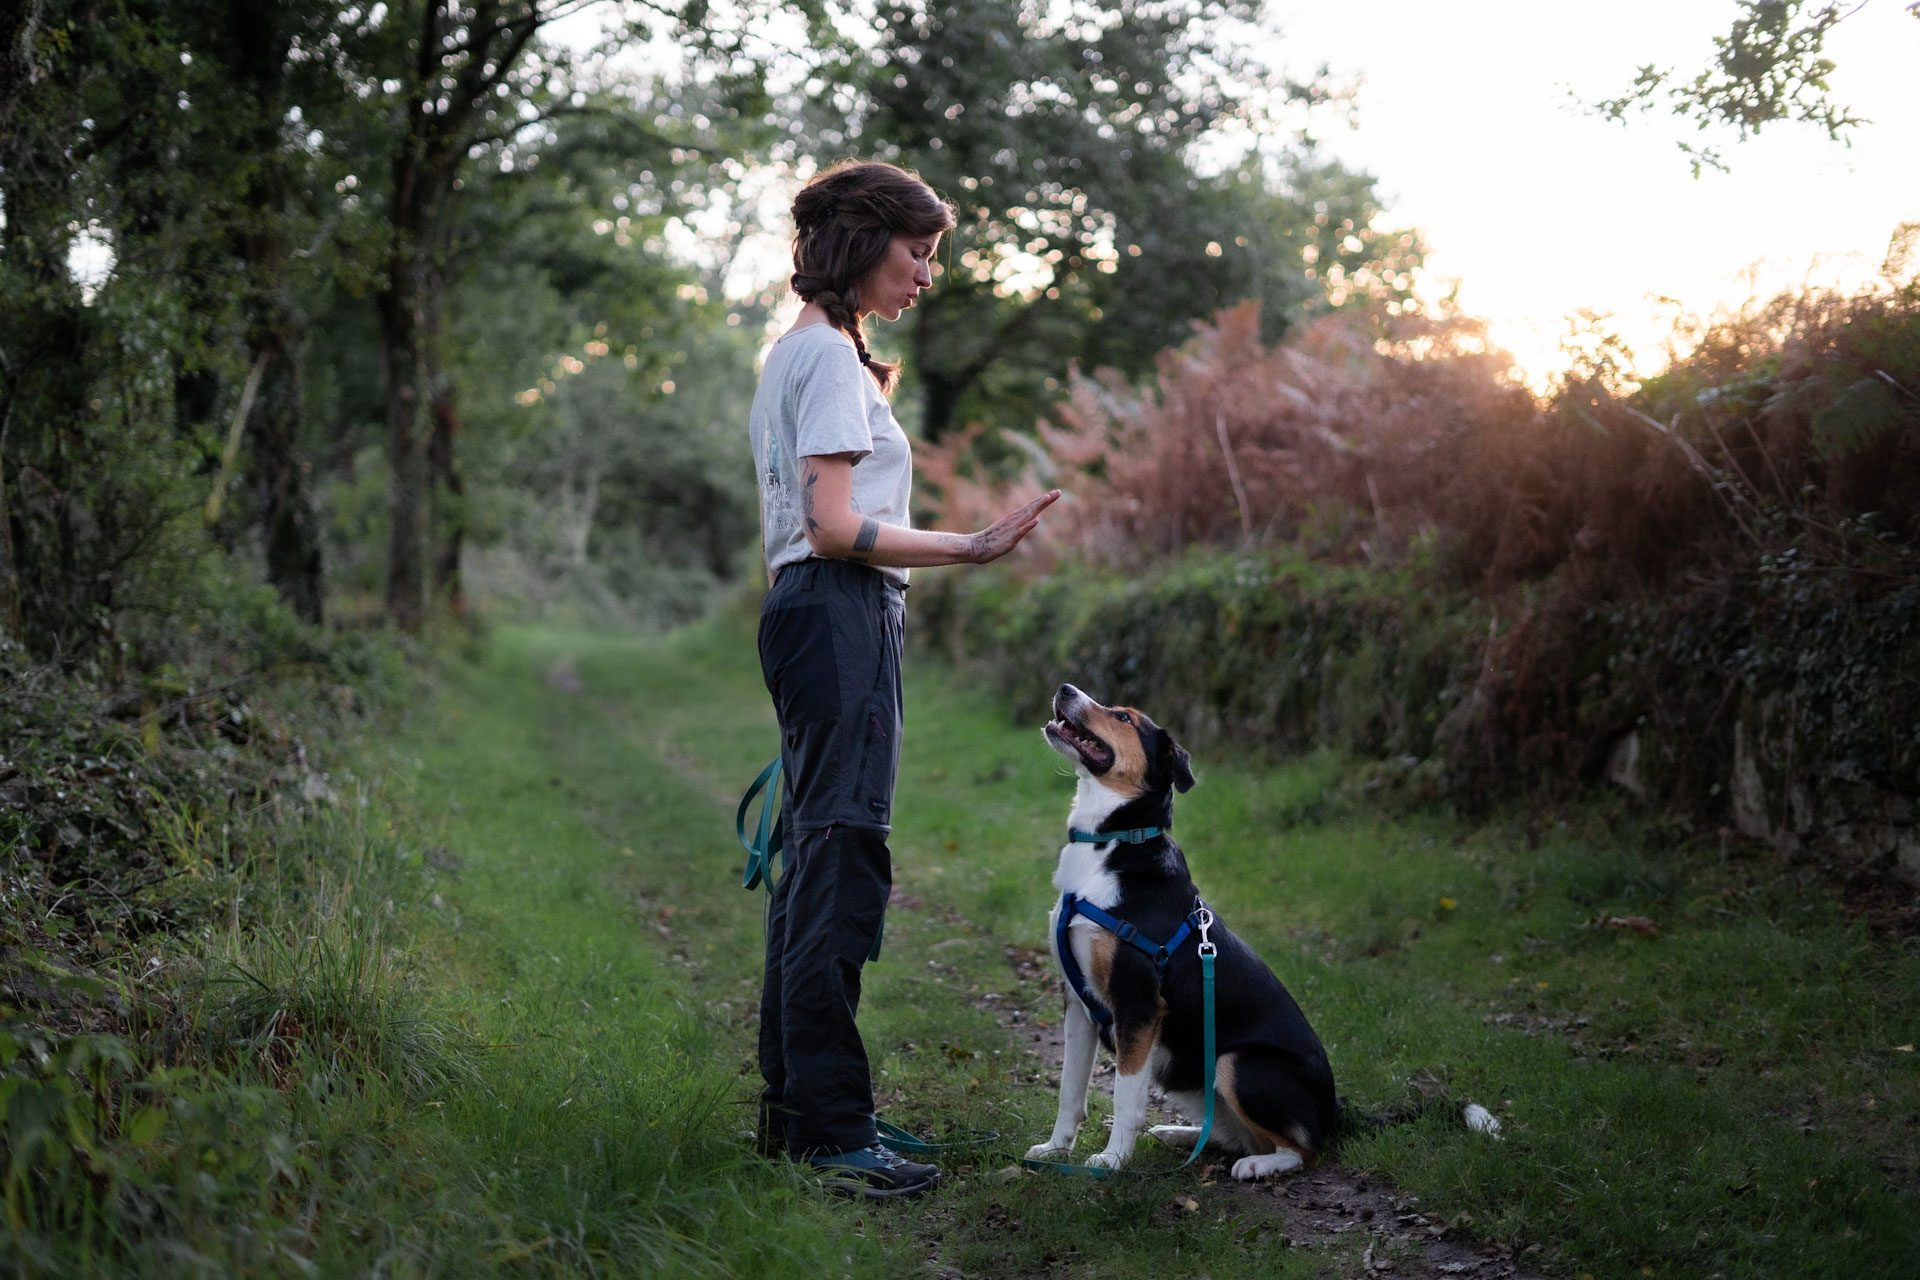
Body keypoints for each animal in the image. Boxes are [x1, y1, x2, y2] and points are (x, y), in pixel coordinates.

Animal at [1021, 679, 1336, 1182]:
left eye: (1124, 717)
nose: (1065, 687)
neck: (1110, 843)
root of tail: (1337, 1111)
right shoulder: (1077, 1002)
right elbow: (1070, 1092)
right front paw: (1054, 1150)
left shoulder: (1139, 1005)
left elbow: (1125, 1099)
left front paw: (1112, 1161)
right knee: (1234, 1133)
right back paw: (1180, 1135)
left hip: (1236, 1063)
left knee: (1304, 1148)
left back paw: (1258, 1165)